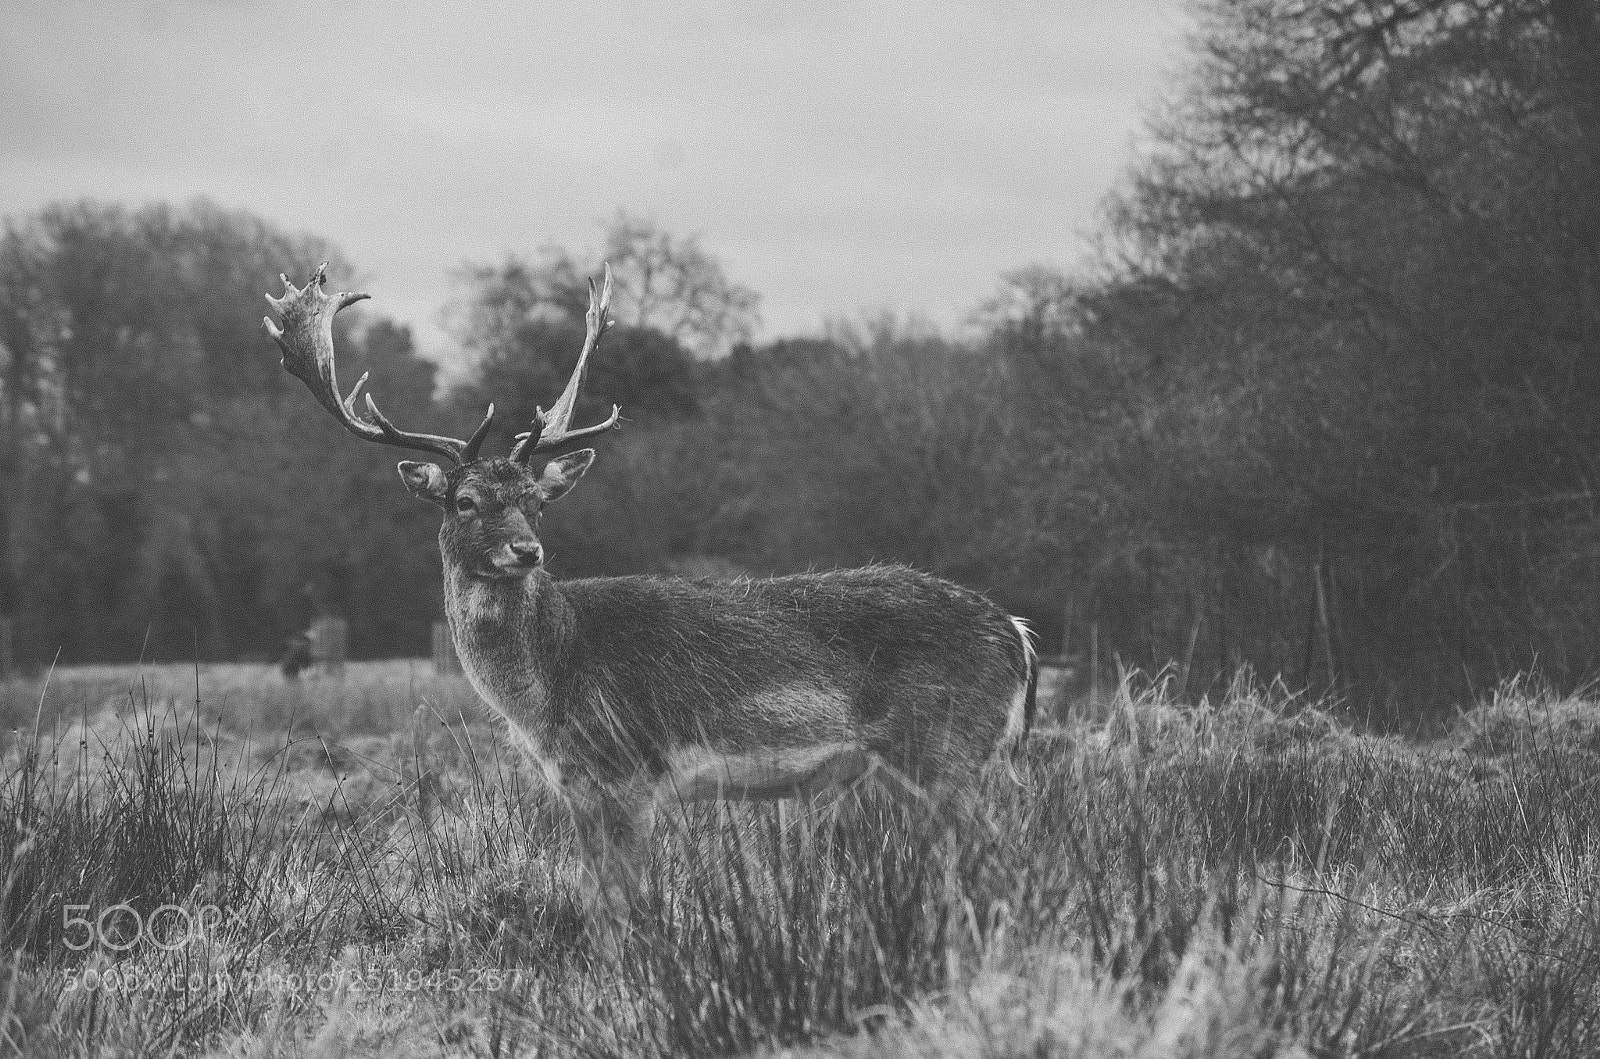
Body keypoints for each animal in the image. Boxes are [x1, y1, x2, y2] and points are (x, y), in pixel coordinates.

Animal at [264, 263, 1038, 941]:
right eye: (465, 501)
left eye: (534, 501)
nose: (526, 551)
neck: (550, 684)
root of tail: (1019, 634)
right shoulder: (578, 785)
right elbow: (597, 897)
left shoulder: (628, 767)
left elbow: (622, 904)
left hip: (948, 748)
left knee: (1002, 859)